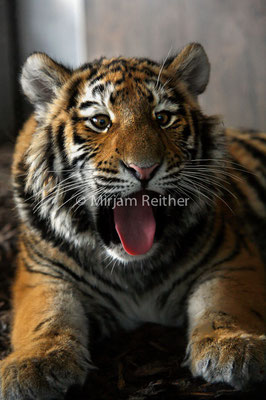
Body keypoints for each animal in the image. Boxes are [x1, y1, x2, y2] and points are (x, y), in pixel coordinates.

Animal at [0, 42, 264, 398]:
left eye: (162, 118)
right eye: (100, 121)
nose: (144, 169)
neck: (133, 269)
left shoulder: (232, 259)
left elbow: (227, 304)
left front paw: (235, 346)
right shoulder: (42, 274)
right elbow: (46, 316)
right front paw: (33, 365)